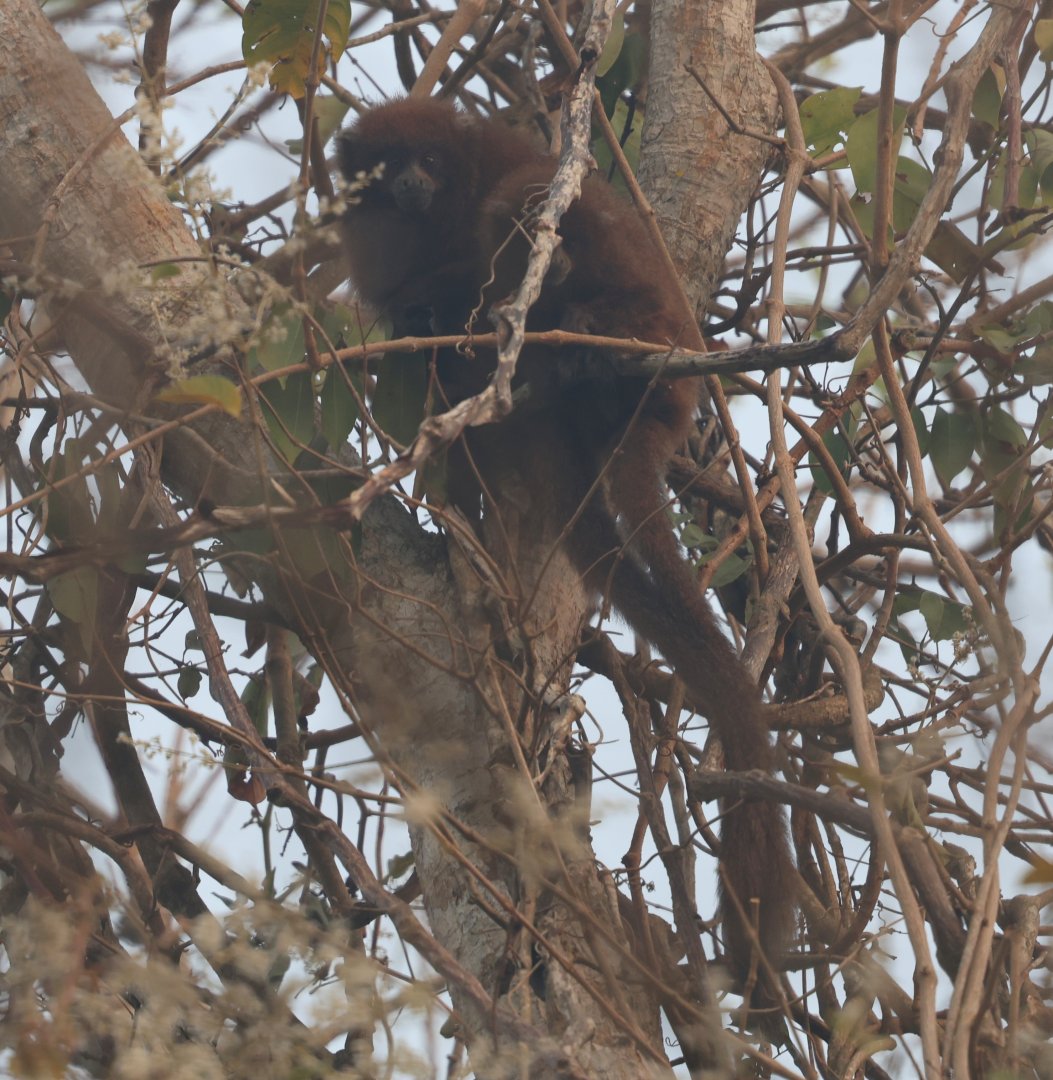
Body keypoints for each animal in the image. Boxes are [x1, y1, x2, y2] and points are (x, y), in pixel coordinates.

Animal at [336, 97, 795, 996]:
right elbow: (406, 306)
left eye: (428, 161)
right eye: (388, 165)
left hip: (647, 313)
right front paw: (429, 325)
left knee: (528, 203)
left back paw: (574, 331)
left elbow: (507, 202)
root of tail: (662, 409)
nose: (409, 184)